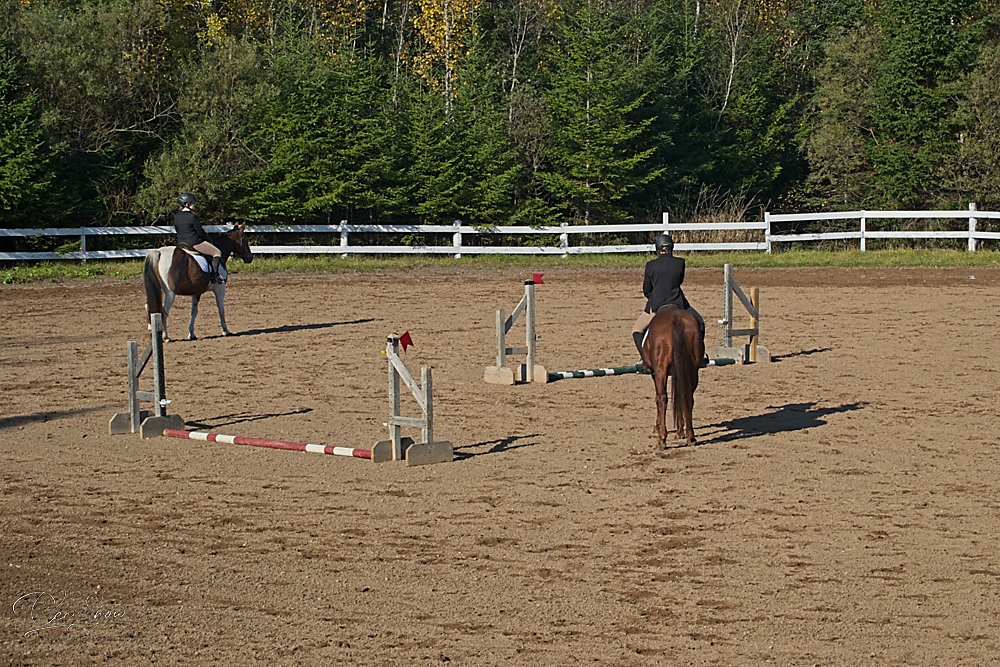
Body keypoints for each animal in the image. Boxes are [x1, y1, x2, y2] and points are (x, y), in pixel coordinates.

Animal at [641, 306, 705, 447]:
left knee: (662, 398)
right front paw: (680, 431)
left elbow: (658, 397)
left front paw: (657, 426)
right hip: (692, 370)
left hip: (661, 370)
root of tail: (675, 319)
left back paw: (662, 439)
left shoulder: (656, 373)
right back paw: (690, 437)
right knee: (687, 396)